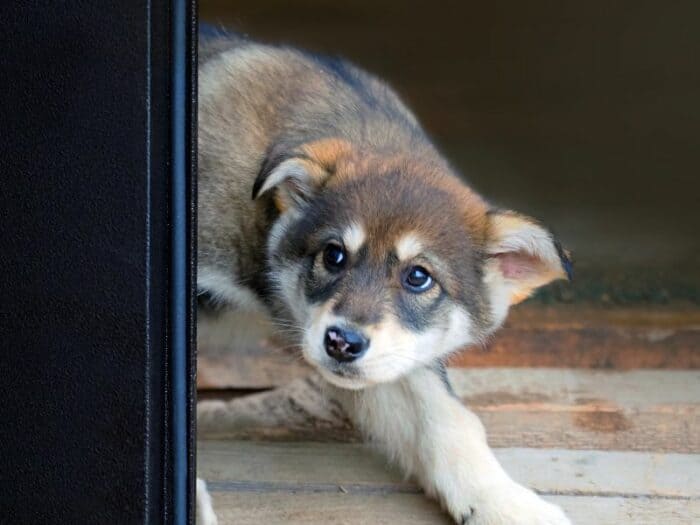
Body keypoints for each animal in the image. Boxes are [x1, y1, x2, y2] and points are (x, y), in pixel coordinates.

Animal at [196, 32, 576, 524]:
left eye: (418, 277)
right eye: (333, 255)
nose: (342, 343)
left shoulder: (396, 359)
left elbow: (446, 418)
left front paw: (502, 501)